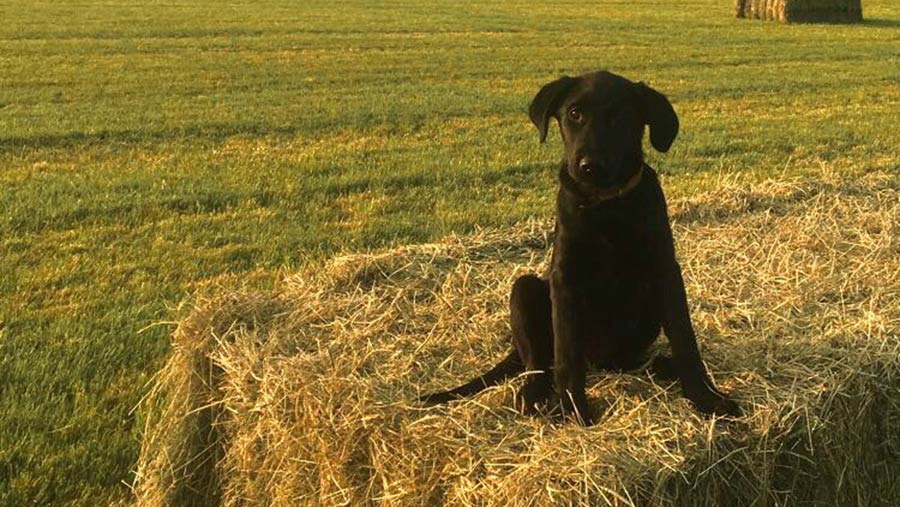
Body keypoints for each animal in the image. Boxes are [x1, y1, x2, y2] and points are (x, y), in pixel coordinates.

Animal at [418, 69, 740, 422]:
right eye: (574, 113)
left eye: (621, 116)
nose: (590, 165)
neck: (605, 205)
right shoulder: (565, 279)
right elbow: (567, 352)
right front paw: (574, 409)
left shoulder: (665, 272)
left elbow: (685, 340)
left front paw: (706, 398)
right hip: (525, 290)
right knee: (539, 363)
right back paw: (533, 394)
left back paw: (661, 365)